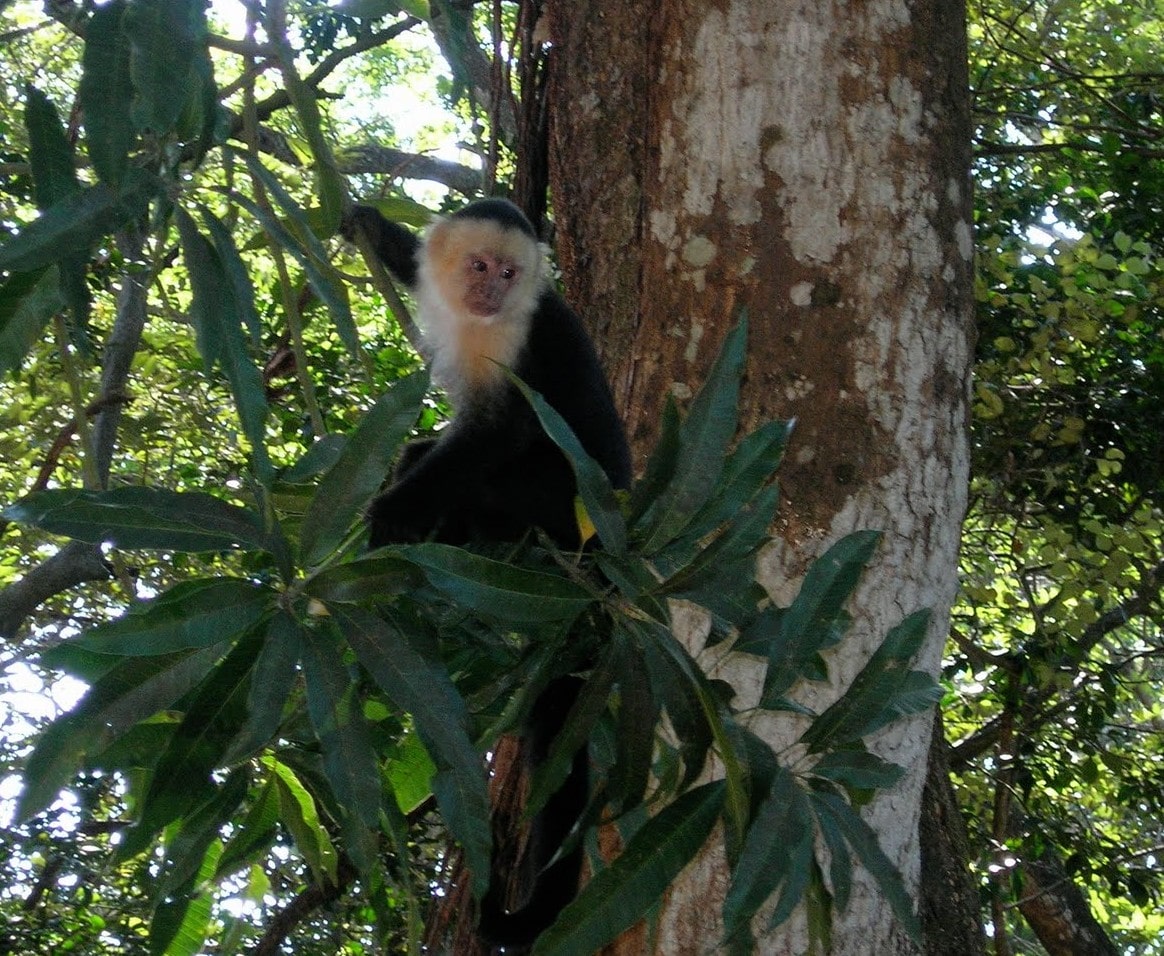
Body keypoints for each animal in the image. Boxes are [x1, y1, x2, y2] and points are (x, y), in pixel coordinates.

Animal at [343, 199, 631, 946]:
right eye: (479, 266)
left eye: (508, 273)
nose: (492, 292)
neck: (479, 320)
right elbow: (414, 261)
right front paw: (375, 228)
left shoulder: (516, 336)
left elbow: (498, 433)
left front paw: (395, 510)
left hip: (566, 504)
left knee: (491, 476)